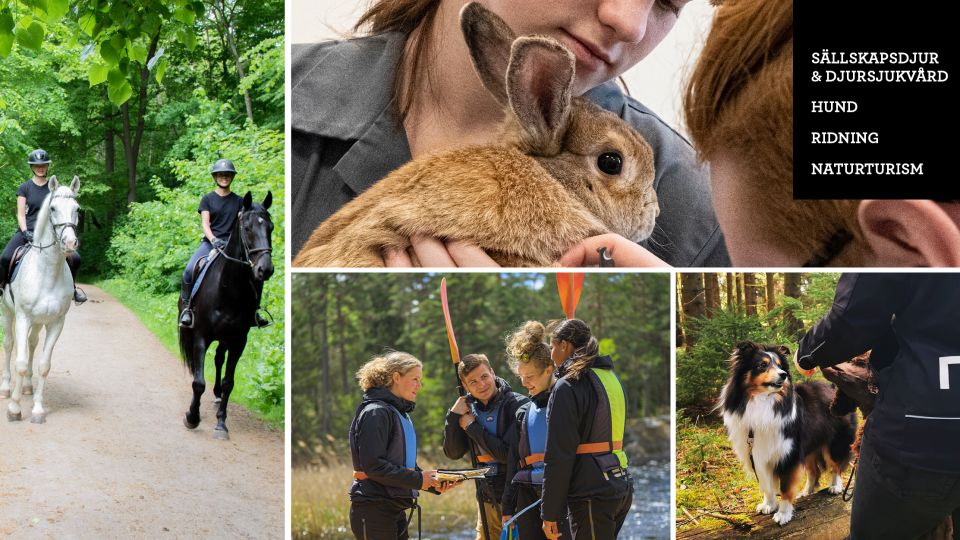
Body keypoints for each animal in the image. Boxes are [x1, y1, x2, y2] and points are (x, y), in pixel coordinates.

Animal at [1, 175, 79, 424]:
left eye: (77, 209)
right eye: (52, 208)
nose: (70, 243)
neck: (47, 272)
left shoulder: (56, 323)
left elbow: (44, 365)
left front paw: (37, 410)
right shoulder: (23, 318)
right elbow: (20, 362)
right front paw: (15, 409)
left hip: (38, 322)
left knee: (32, 344)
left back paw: (27, 387)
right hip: (7, 313)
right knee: (9, 345)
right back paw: (6, 389)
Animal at [180, 190, 274, 438]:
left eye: (270, 227)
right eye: (247, 228)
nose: (265, 269)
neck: (229, 289)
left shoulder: (239, 340)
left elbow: (228, 382)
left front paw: (221, 423)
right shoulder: (201, 336)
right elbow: (198, 382)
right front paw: (192, 417)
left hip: (225, 339)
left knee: (219, 358)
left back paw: (216, 396)